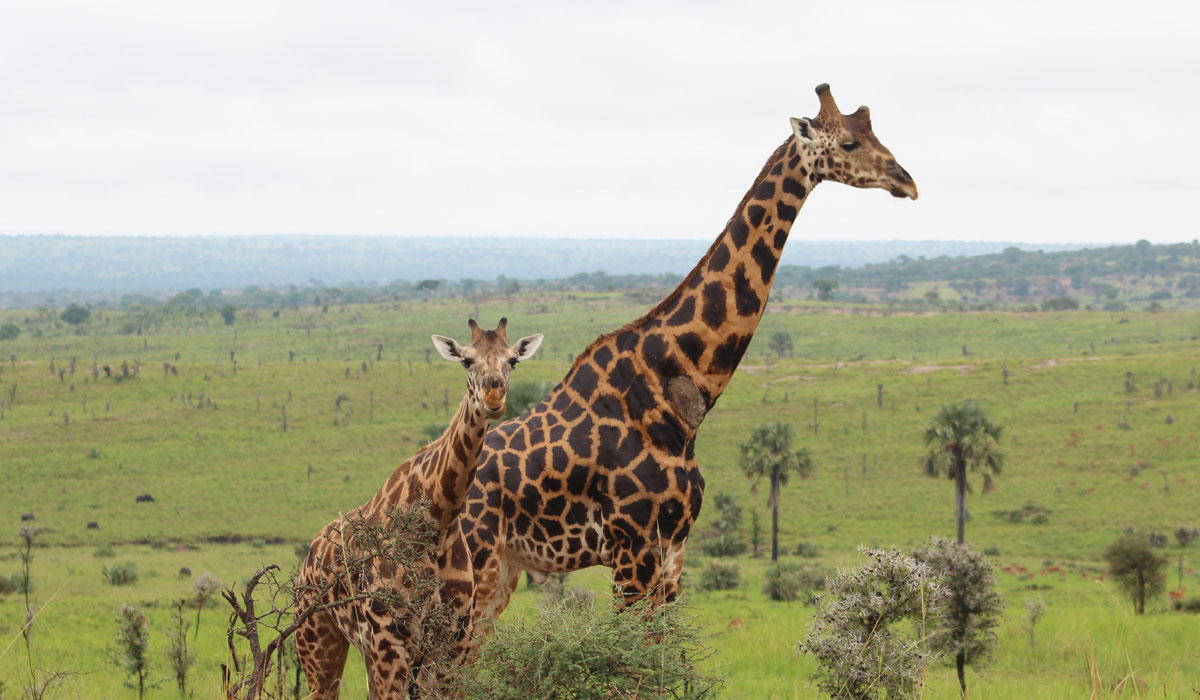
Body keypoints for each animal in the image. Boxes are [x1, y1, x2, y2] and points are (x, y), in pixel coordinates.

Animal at [295, 319, 544, 700]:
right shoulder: (389, 640)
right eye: (466, 360)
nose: (493, 397)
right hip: (317, 638)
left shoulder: (451, 642)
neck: (438, 521)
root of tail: (310, 556)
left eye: (513, 361)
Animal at [456, 82, 916, 624]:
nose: (907, 182)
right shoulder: (631, 547)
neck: (680, 393)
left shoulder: (673, 548)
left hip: (503, 570)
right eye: (848, 142)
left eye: (874, 133)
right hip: (472, 562)